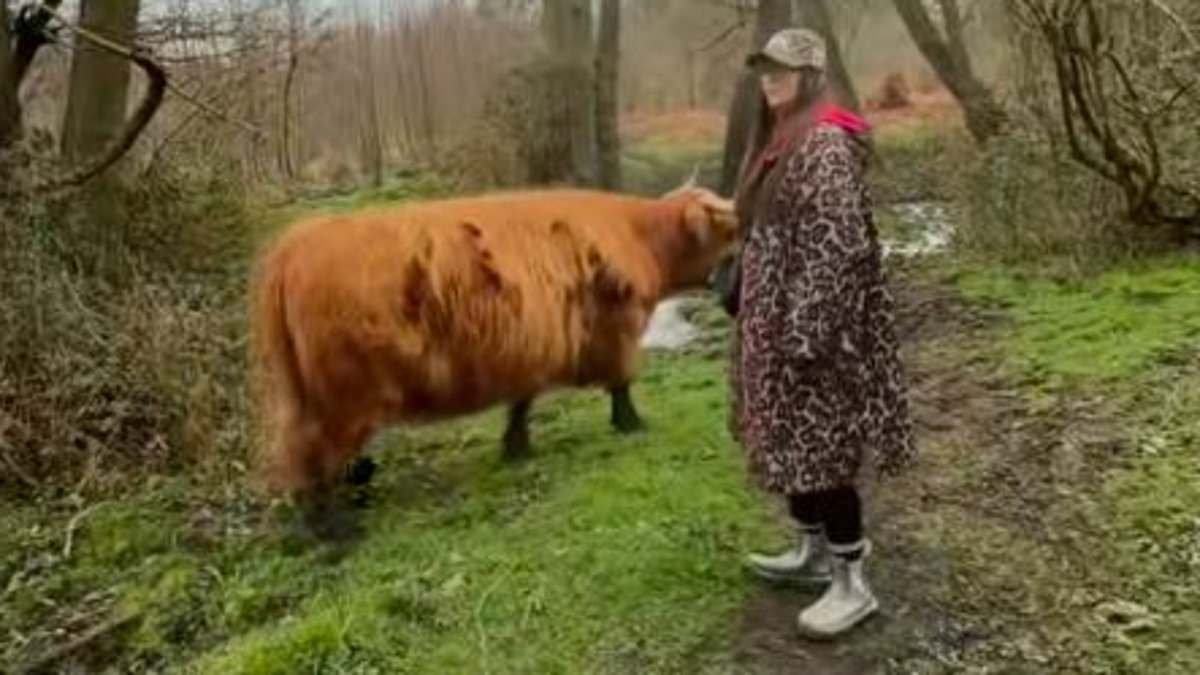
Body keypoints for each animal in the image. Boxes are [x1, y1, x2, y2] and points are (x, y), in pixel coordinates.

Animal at [249, 181, 736, 535]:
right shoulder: (615, 329)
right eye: (727, 234)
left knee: (303, 455)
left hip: (306, 395)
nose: (730, 285)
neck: (639, 235)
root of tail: (294, 246)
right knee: (315, 457)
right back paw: (334, 530)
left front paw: (516, 447)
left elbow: (522, 401)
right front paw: (631, 424)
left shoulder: (532, 345)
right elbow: (621, 382)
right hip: (341, 396)